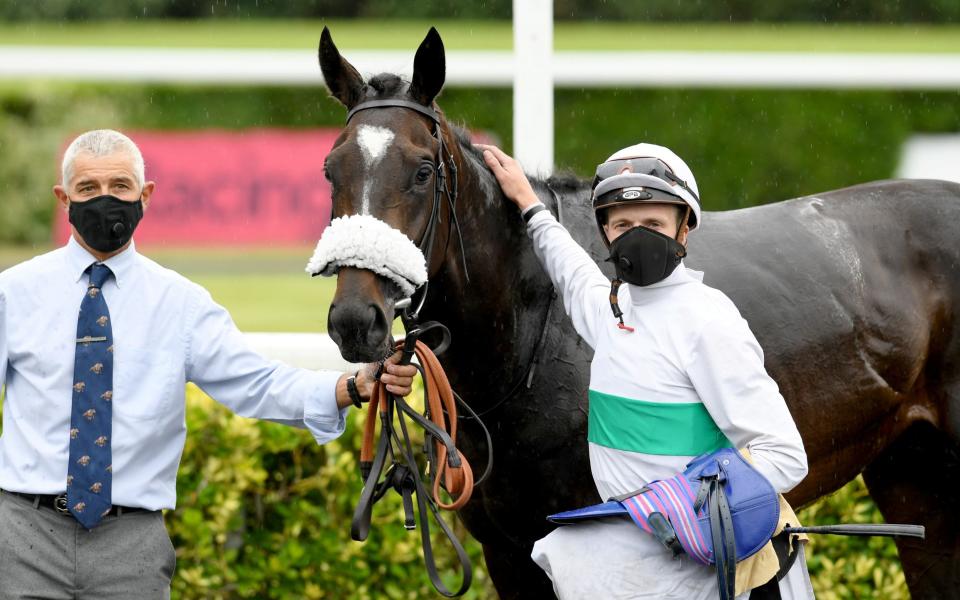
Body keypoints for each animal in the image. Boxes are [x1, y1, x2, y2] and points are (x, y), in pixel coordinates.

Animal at [316, 28, 960, 600]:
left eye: (422, 171)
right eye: (331, 170)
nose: (355, 320)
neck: (536, 332)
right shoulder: (507, 552)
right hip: (913, 473)